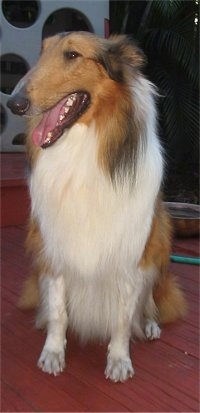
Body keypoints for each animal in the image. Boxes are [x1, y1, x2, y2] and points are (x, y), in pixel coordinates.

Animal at [7, 32, 187, 384]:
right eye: (42, 52)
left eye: (73, 55)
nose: (13, 103)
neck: (82, 150)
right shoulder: (56, 249)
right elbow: (59, 312)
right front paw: (53, 352)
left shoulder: (129, 255)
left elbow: (122, 317)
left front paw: (118, 360)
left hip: (159, 242)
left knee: (151, 298)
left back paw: (149, 324)